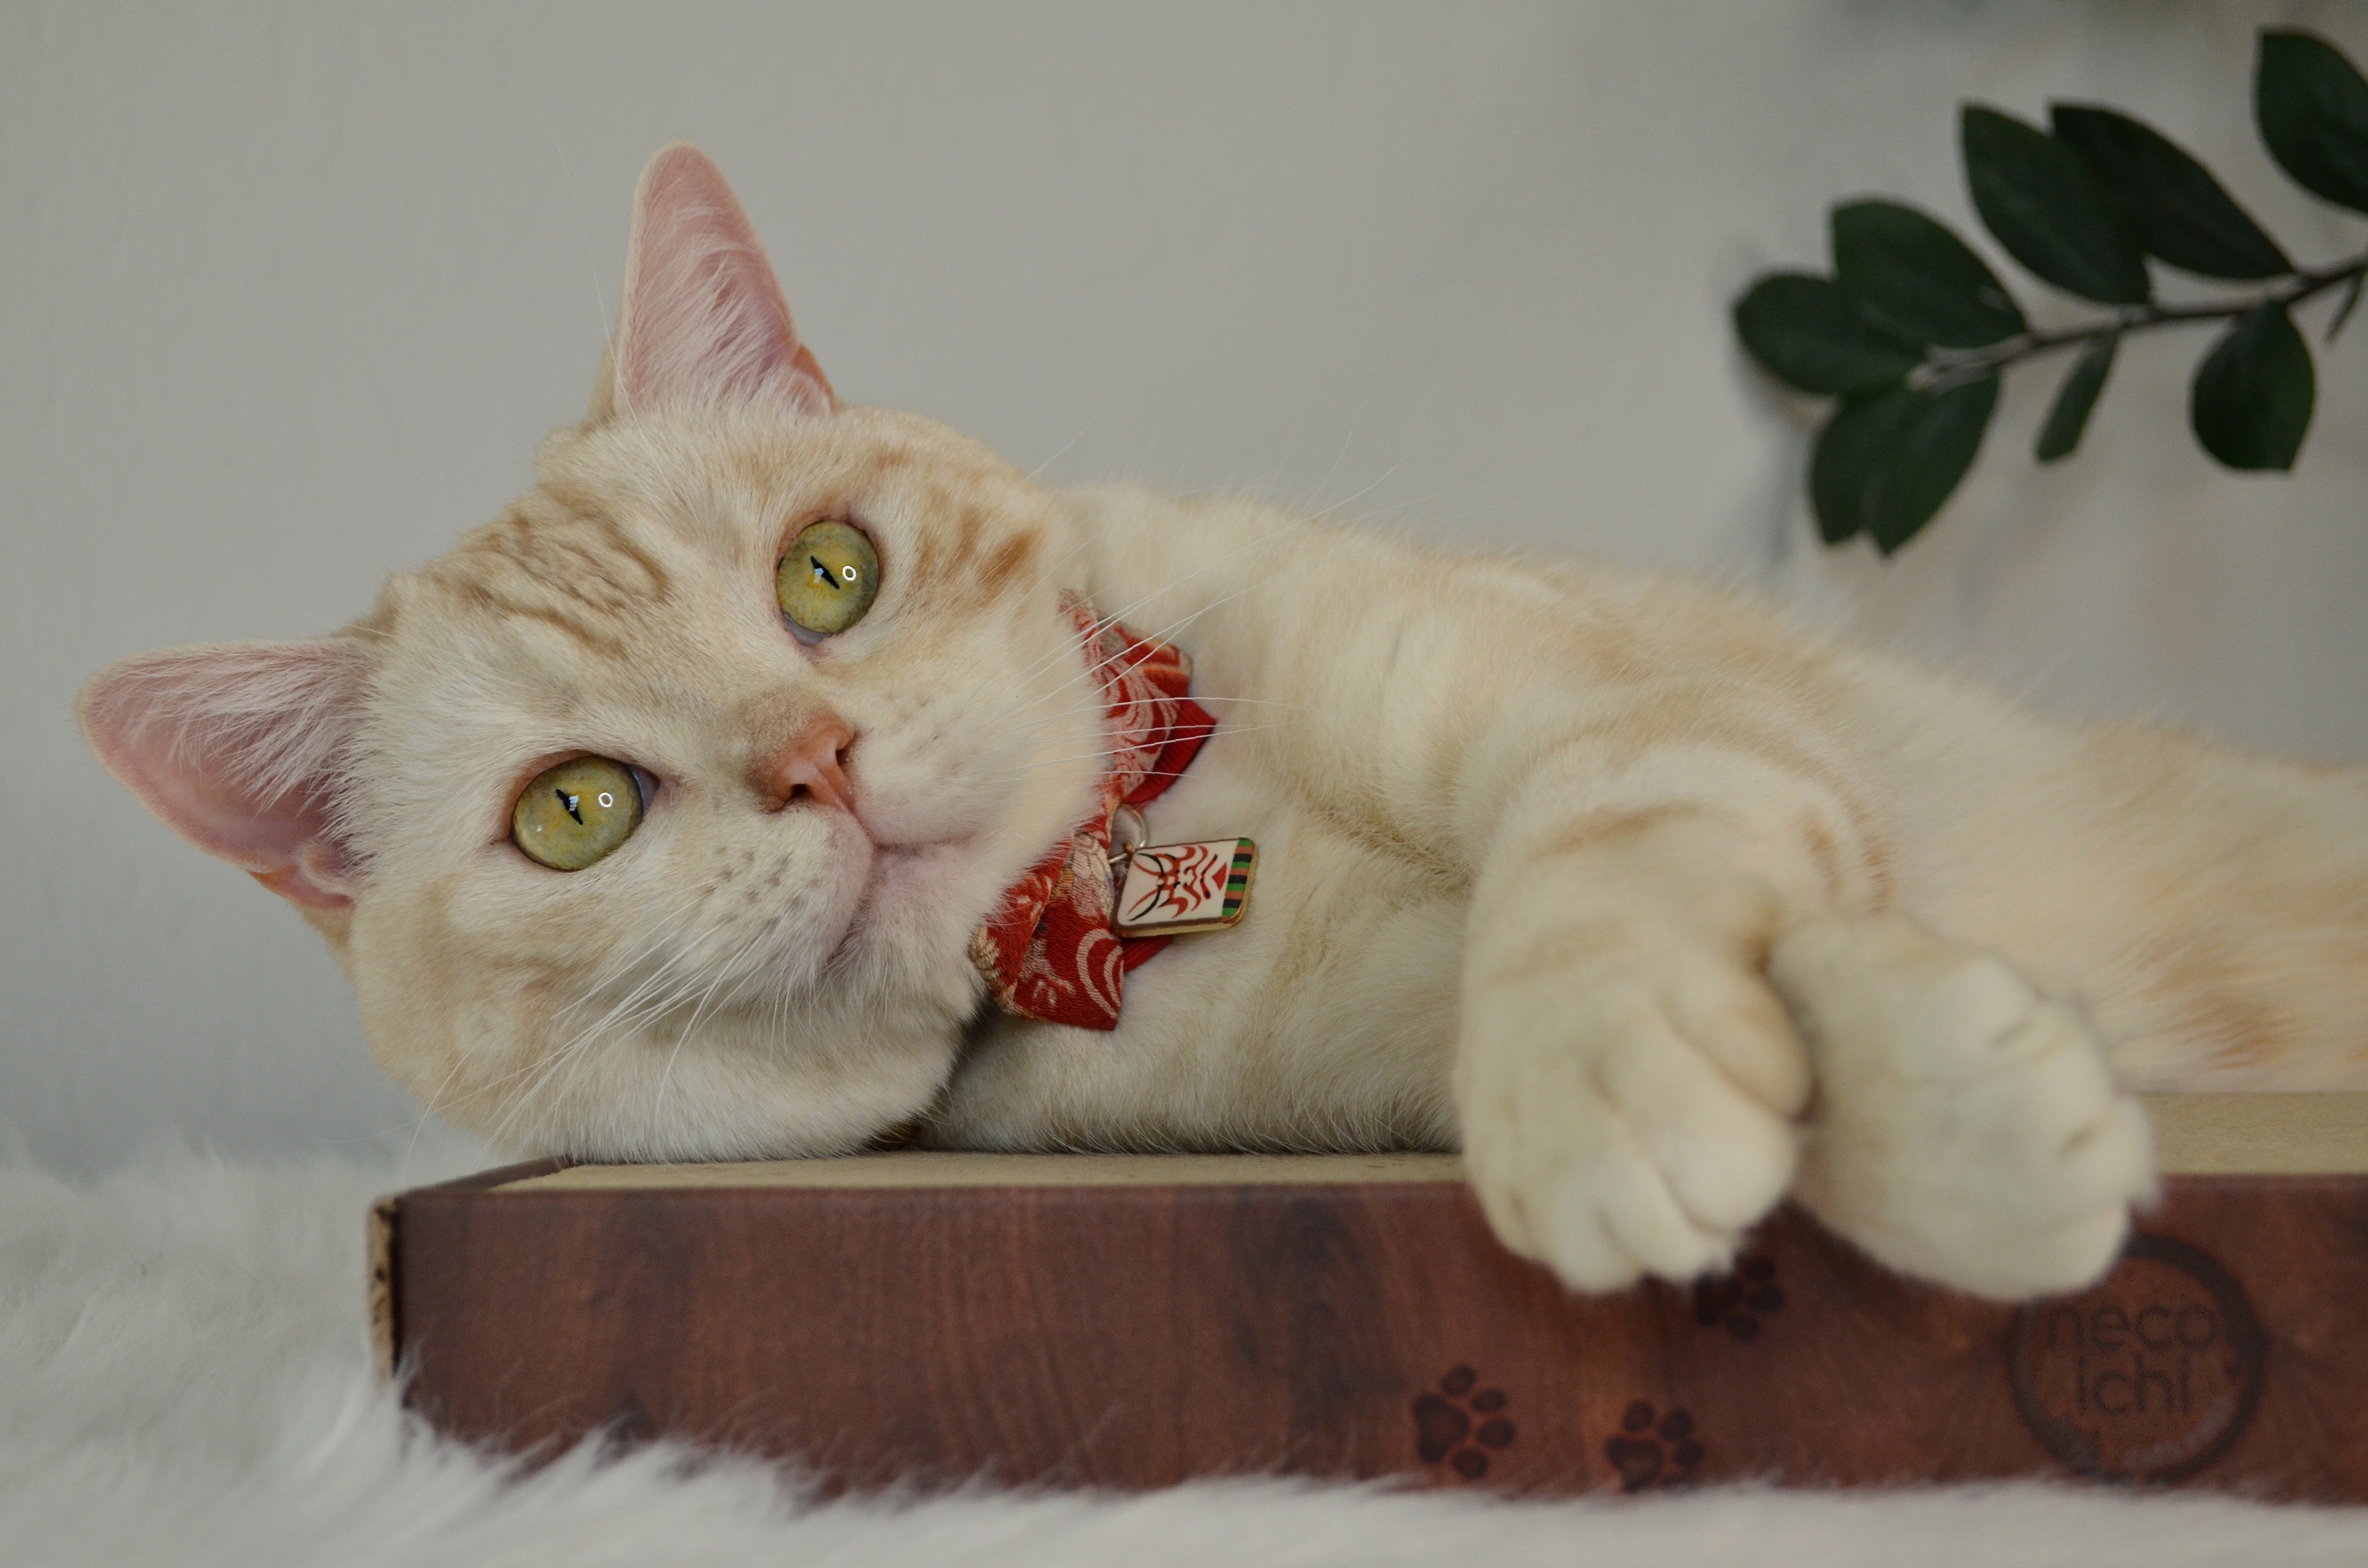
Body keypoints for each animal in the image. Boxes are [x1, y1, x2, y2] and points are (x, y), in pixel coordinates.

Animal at [79, 147, 2368, 1297]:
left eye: (826, 576)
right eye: (573, 811)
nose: (815, 760)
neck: (1145, 849)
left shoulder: (1606, 702)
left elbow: (1614, 862)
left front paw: (1644, 1086)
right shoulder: (1364, 1055)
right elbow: (1733, 963)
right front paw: (1982, 1124)